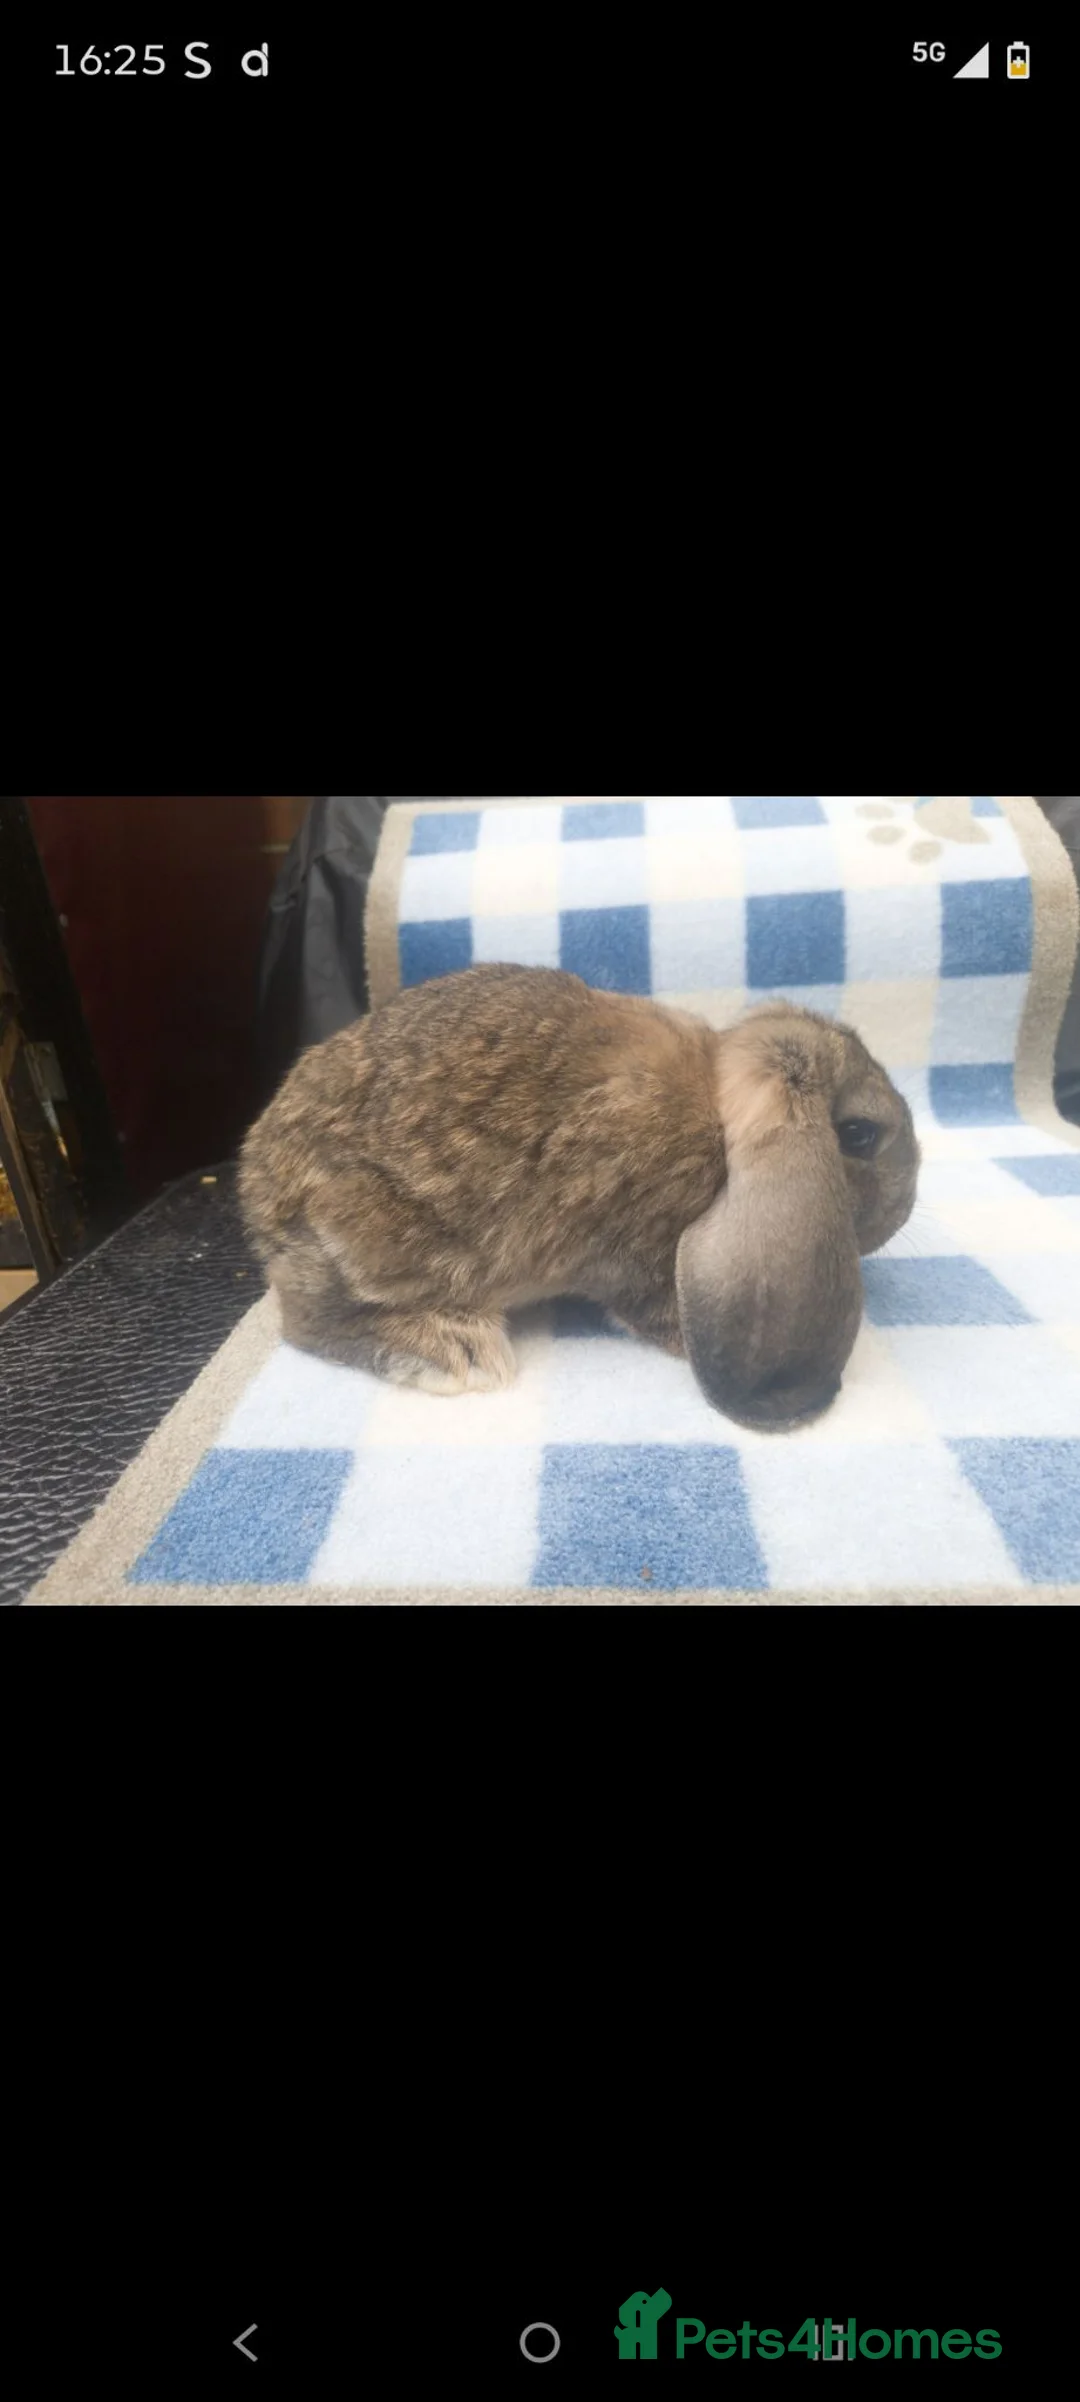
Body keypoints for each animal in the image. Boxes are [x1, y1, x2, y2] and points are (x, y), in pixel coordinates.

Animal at [237, 962, 920, 1431]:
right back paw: (454, 1349)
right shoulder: (637, 1251)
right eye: (859, 1134)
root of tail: (256, 1193)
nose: (905, 1208)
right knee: (309, 1322)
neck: (715, 1114)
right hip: (376, 1245)